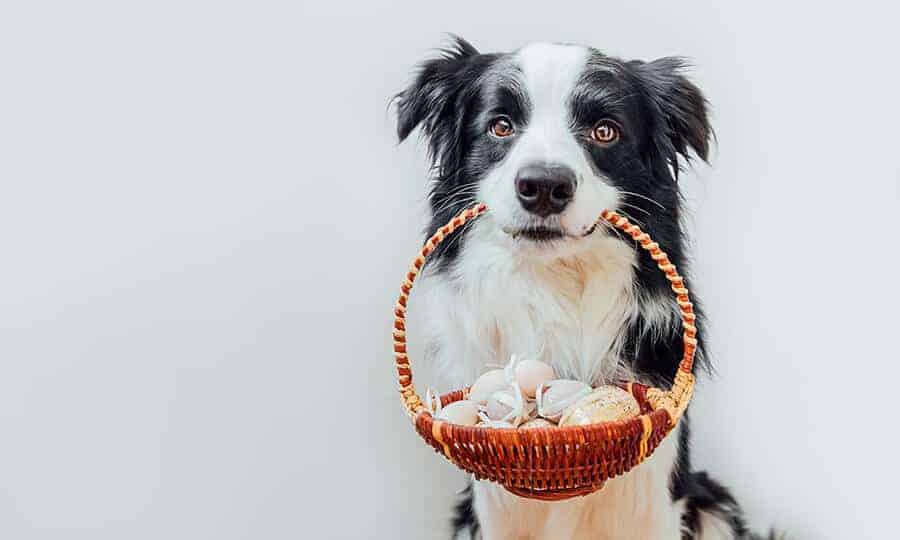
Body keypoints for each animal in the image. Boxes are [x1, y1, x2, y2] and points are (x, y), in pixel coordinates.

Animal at [394, 38, 760, 540]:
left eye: (605, 131)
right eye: (500, 126)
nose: (543, 186)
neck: (556, 283)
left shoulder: (653, 495)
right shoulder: (494, 506)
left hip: (714, 506)